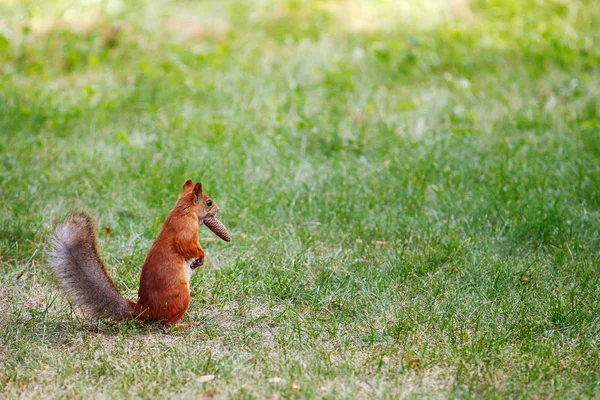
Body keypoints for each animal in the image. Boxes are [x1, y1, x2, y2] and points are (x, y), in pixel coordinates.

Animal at [49, 180, 230, 328]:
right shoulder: (186, 230)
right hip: (181, 297)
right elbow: (188, 246)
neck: (183, 209)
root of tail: (145, 310)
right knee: (167, 325)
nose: (218, 209)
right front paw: (201, 257)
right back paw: (184, 325)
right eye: (208, 202)